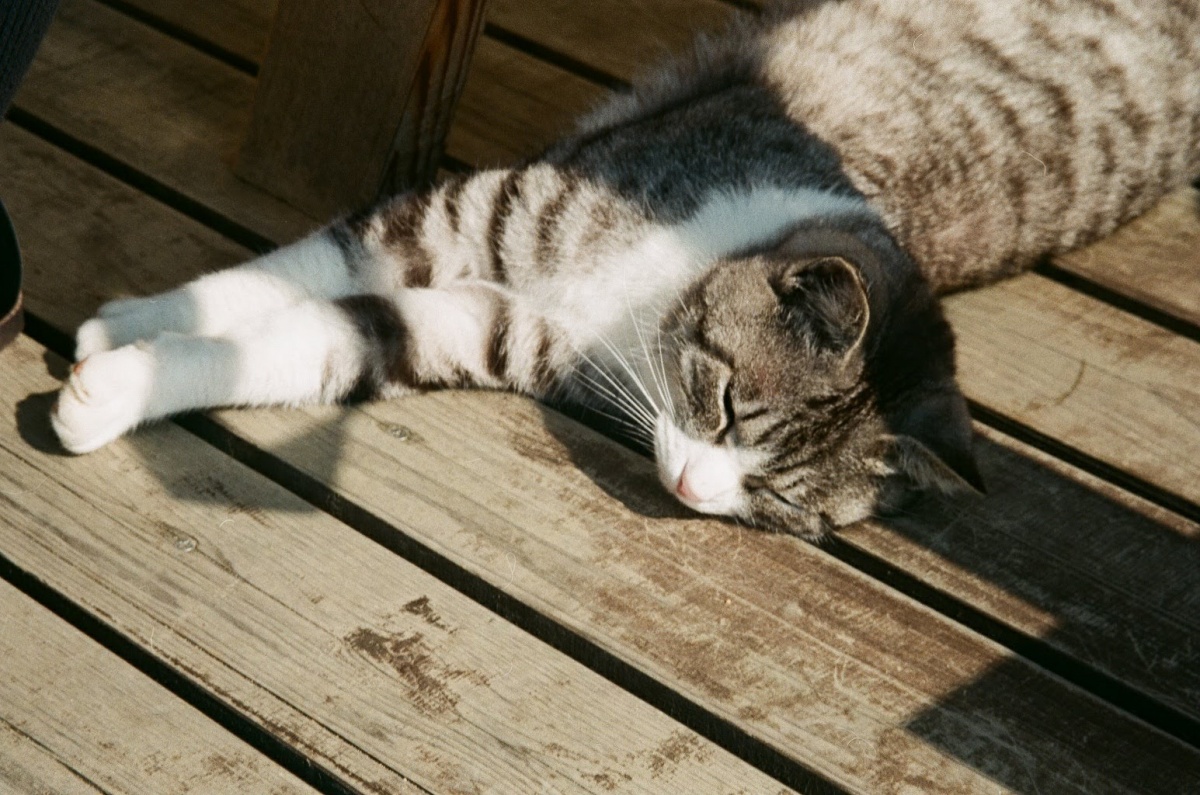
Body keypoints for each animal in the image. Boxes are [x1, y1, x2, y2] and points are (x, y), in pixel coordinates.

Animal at [51, 0, 1200, 542]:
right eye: (729, 405)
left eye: (778, 502)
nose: (693, 489)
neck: (636, 302)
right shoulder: (467, 211)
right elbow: (286, 268)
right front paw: (136, 321)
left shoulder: (484, 327)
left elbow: (317, 344)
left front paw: (120, 386)